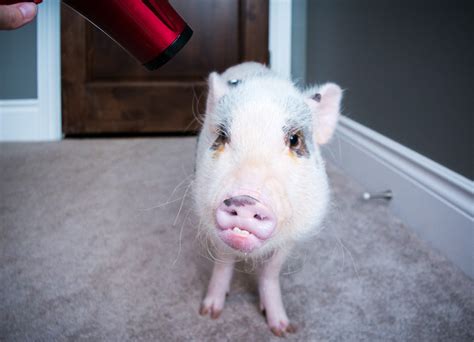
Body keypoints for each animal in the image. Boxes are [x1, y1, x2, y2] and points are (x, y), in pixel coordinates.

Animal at [193, 62, 340, 336]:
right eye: (222, 136)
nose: (245, 199)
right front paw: (209, 313)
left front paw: (282, 329)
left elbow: (270, 272)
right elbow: (223, 262)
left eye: (294, 139)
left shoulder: (291, 237)